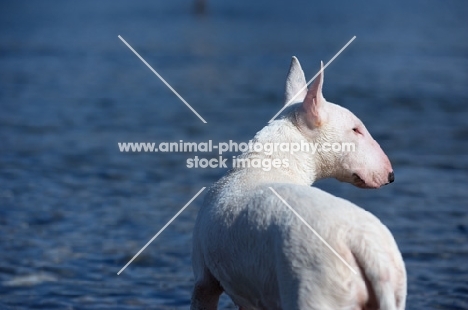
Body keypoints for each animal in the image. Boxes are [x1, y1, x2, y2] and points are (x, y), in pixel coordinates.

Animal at [190, 57, 406, 308]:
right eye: (356, 129)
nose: (390, 175)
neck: (269, 163)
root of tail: (365, 247)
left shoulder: (205, 280)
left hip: (313, 286)